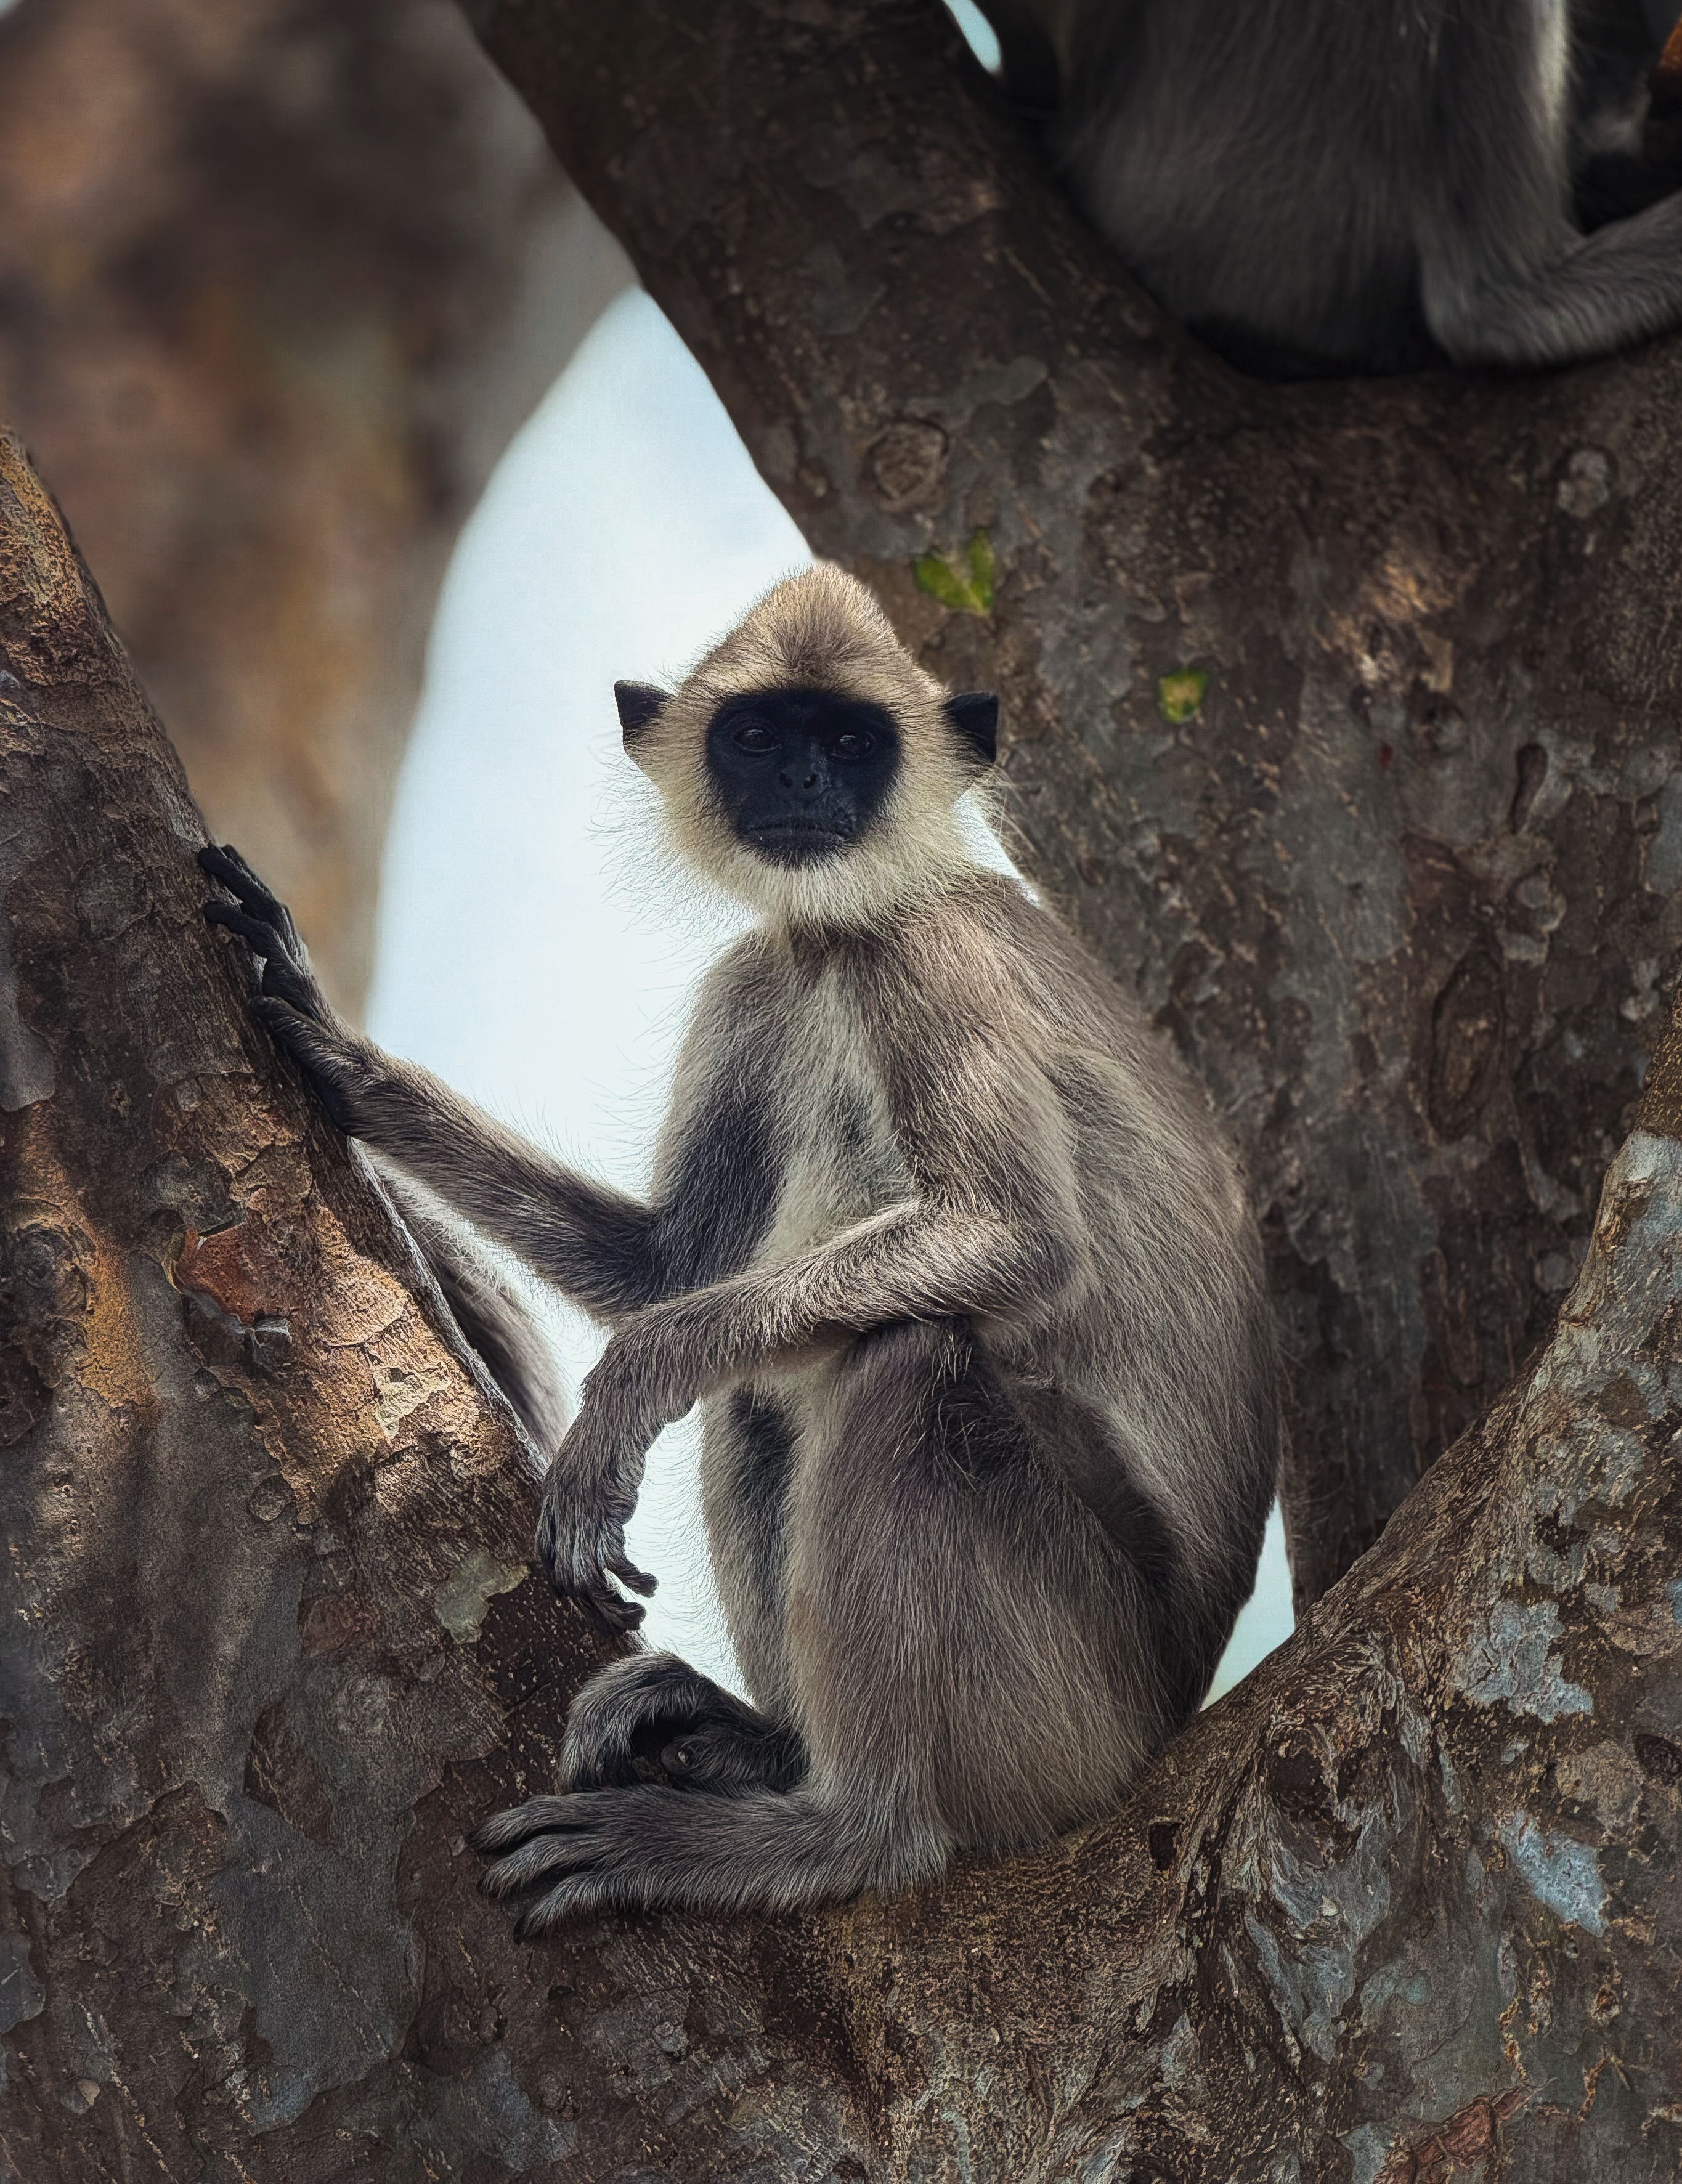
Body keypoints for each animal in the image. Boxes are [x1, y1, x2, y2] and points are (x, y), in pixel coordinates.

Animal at [200, 564, 1280, 1927]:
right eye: (760, 736)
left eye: (851, 742)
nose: (806, 783)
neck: (842, 928)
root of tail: (1171, 1717)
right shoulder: (758, 980)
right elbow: (669, 1273)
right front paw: (344, 1065)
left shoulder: (925, 954)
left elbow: (1014, 1242)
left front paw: (622, 1394)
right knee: (765, 1389)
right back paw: (765, 1742)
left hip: (1081, 1697)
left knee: (901, 1358)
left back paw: (843, 1832)